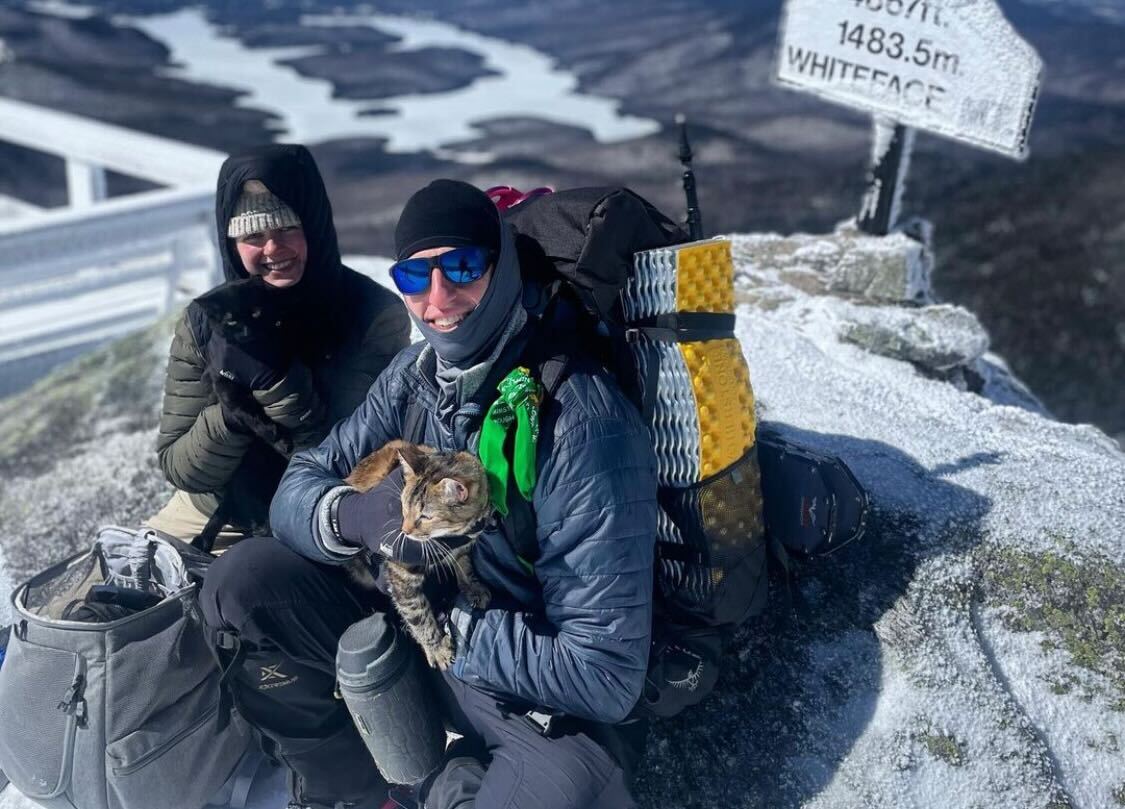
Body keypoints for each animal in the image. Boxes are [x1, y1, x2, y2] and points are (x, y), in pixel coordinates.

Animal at [346, 443, 492, 670]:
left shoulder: (463, 544)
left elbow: (464, 565)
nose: (404, 530)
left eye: (425, 516)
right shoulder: (401, 576)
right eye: (403, 505)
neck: (451, 535)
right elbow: (418, 615)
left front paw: (473, 587)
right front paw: (437, 648)